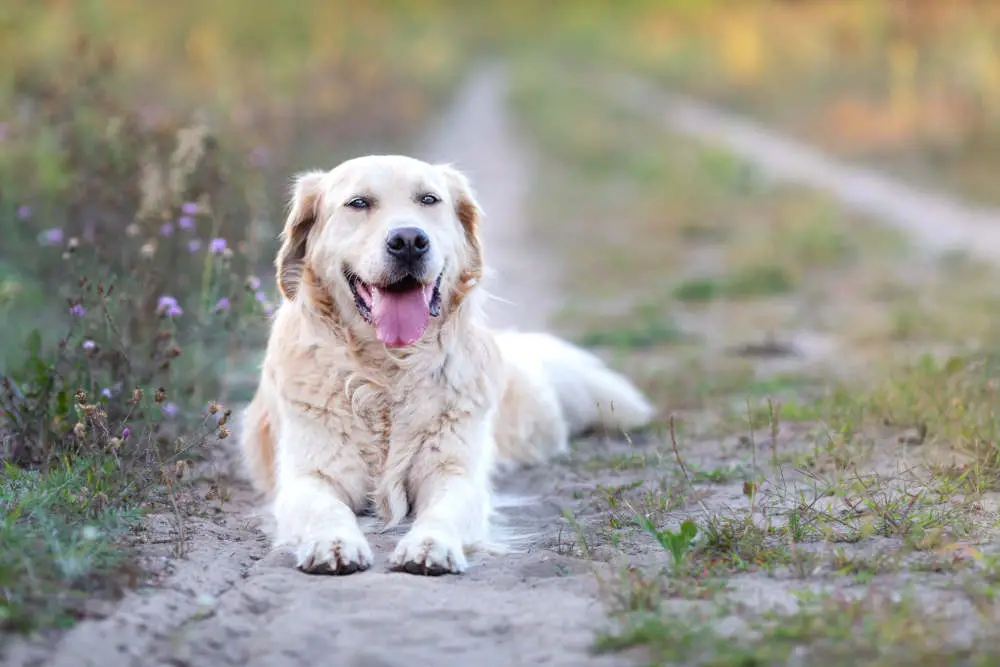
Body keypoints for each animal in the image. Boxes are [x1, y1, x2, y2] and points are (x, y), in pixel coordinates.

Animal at [238, 155, 652, 576]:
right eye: (358, 203)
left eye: (428, 199)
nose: (408, 241)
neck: (388, 371)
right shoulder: (309, 476)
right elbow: (326, 509)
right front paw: (334, 543)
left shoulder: (454, 472)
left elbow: (444, 510)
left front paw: (429, 545)